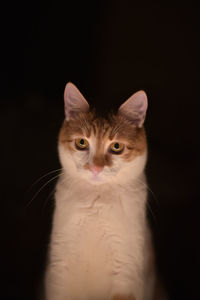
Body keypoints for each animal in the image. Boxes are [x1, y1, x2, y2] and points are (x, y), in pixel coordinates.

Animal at [45, 83, 161, 300]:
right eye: (81, 143)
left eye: (116, 146)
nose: (96, 168)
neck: (96, 203)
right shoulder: (60, 264)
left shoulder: (126, 270)